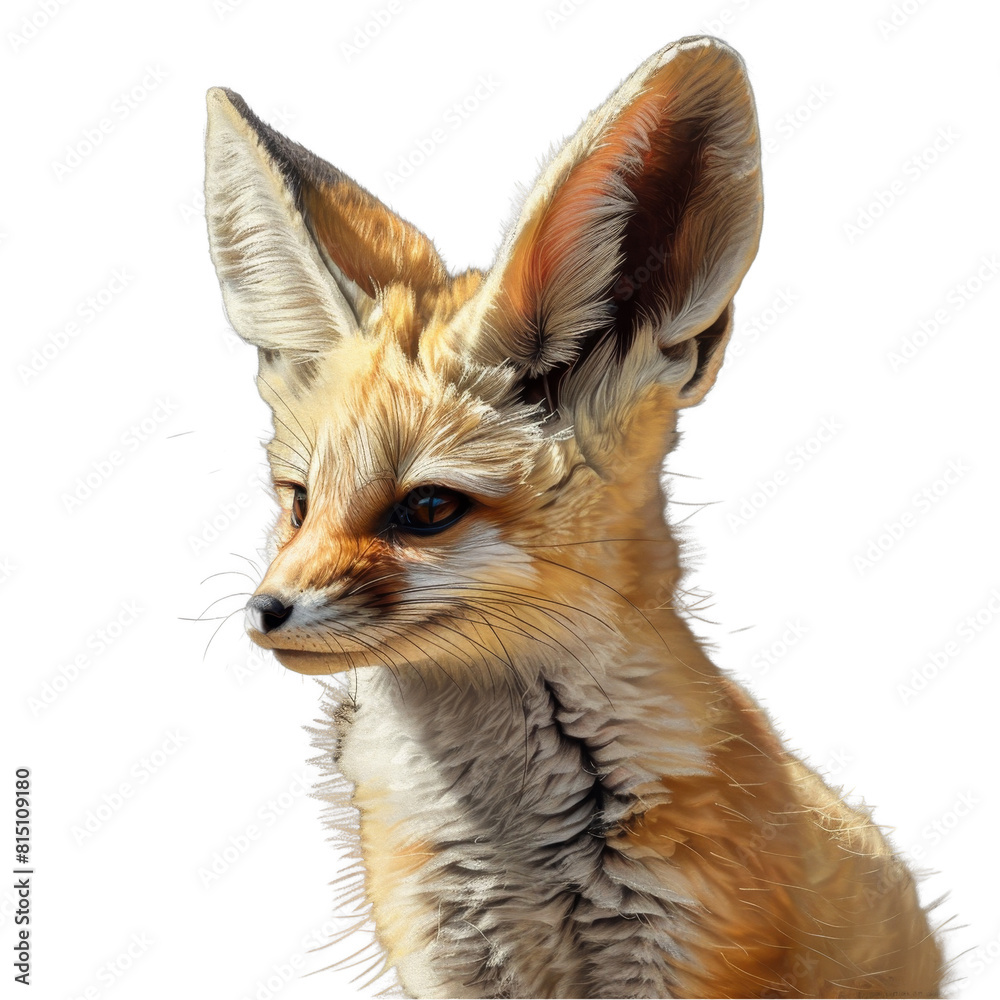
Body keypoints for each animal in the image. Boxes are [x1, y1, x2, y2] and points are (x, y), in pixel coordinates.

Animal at [204, 35, 945, 999]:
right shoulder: (444, 955)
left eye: (427, 508)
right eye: (297, 503)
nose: (266, 611)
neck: (513, 849)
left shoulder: (684, 948)